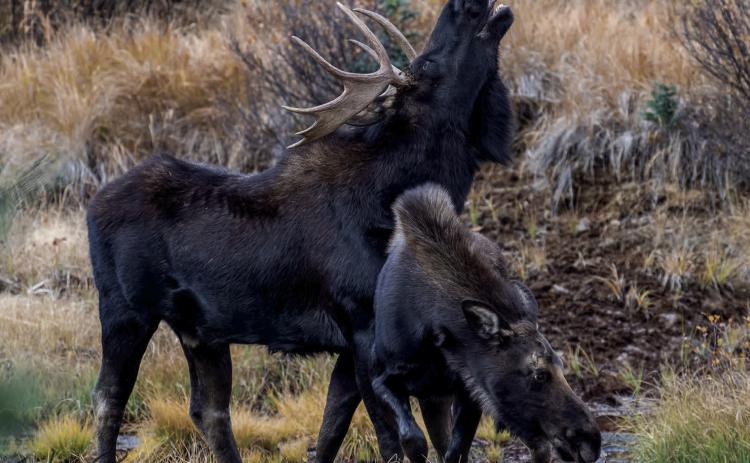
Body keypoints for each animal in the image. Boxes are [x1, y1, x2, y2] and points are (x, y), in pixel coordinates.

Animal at [86, 1, 515, 462]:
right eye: (428, 64)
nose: (464, 5)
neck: (395, 197)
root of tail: (92, 204)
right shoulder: (363, 325)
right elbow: (395, 440)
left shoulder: (360, 344)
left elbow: (333, 430)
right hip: (124, 310)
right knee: (109, 399)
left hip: (199, 330)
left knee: (209, 410)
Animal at [371, 184, 601, 463]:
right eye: (538, 374)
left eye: (561, 365)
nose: (590, 442)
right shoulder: (381, 378)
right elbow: (413, 440)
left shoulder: (471, 392)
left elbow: (456, 451)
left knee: (539, 448)